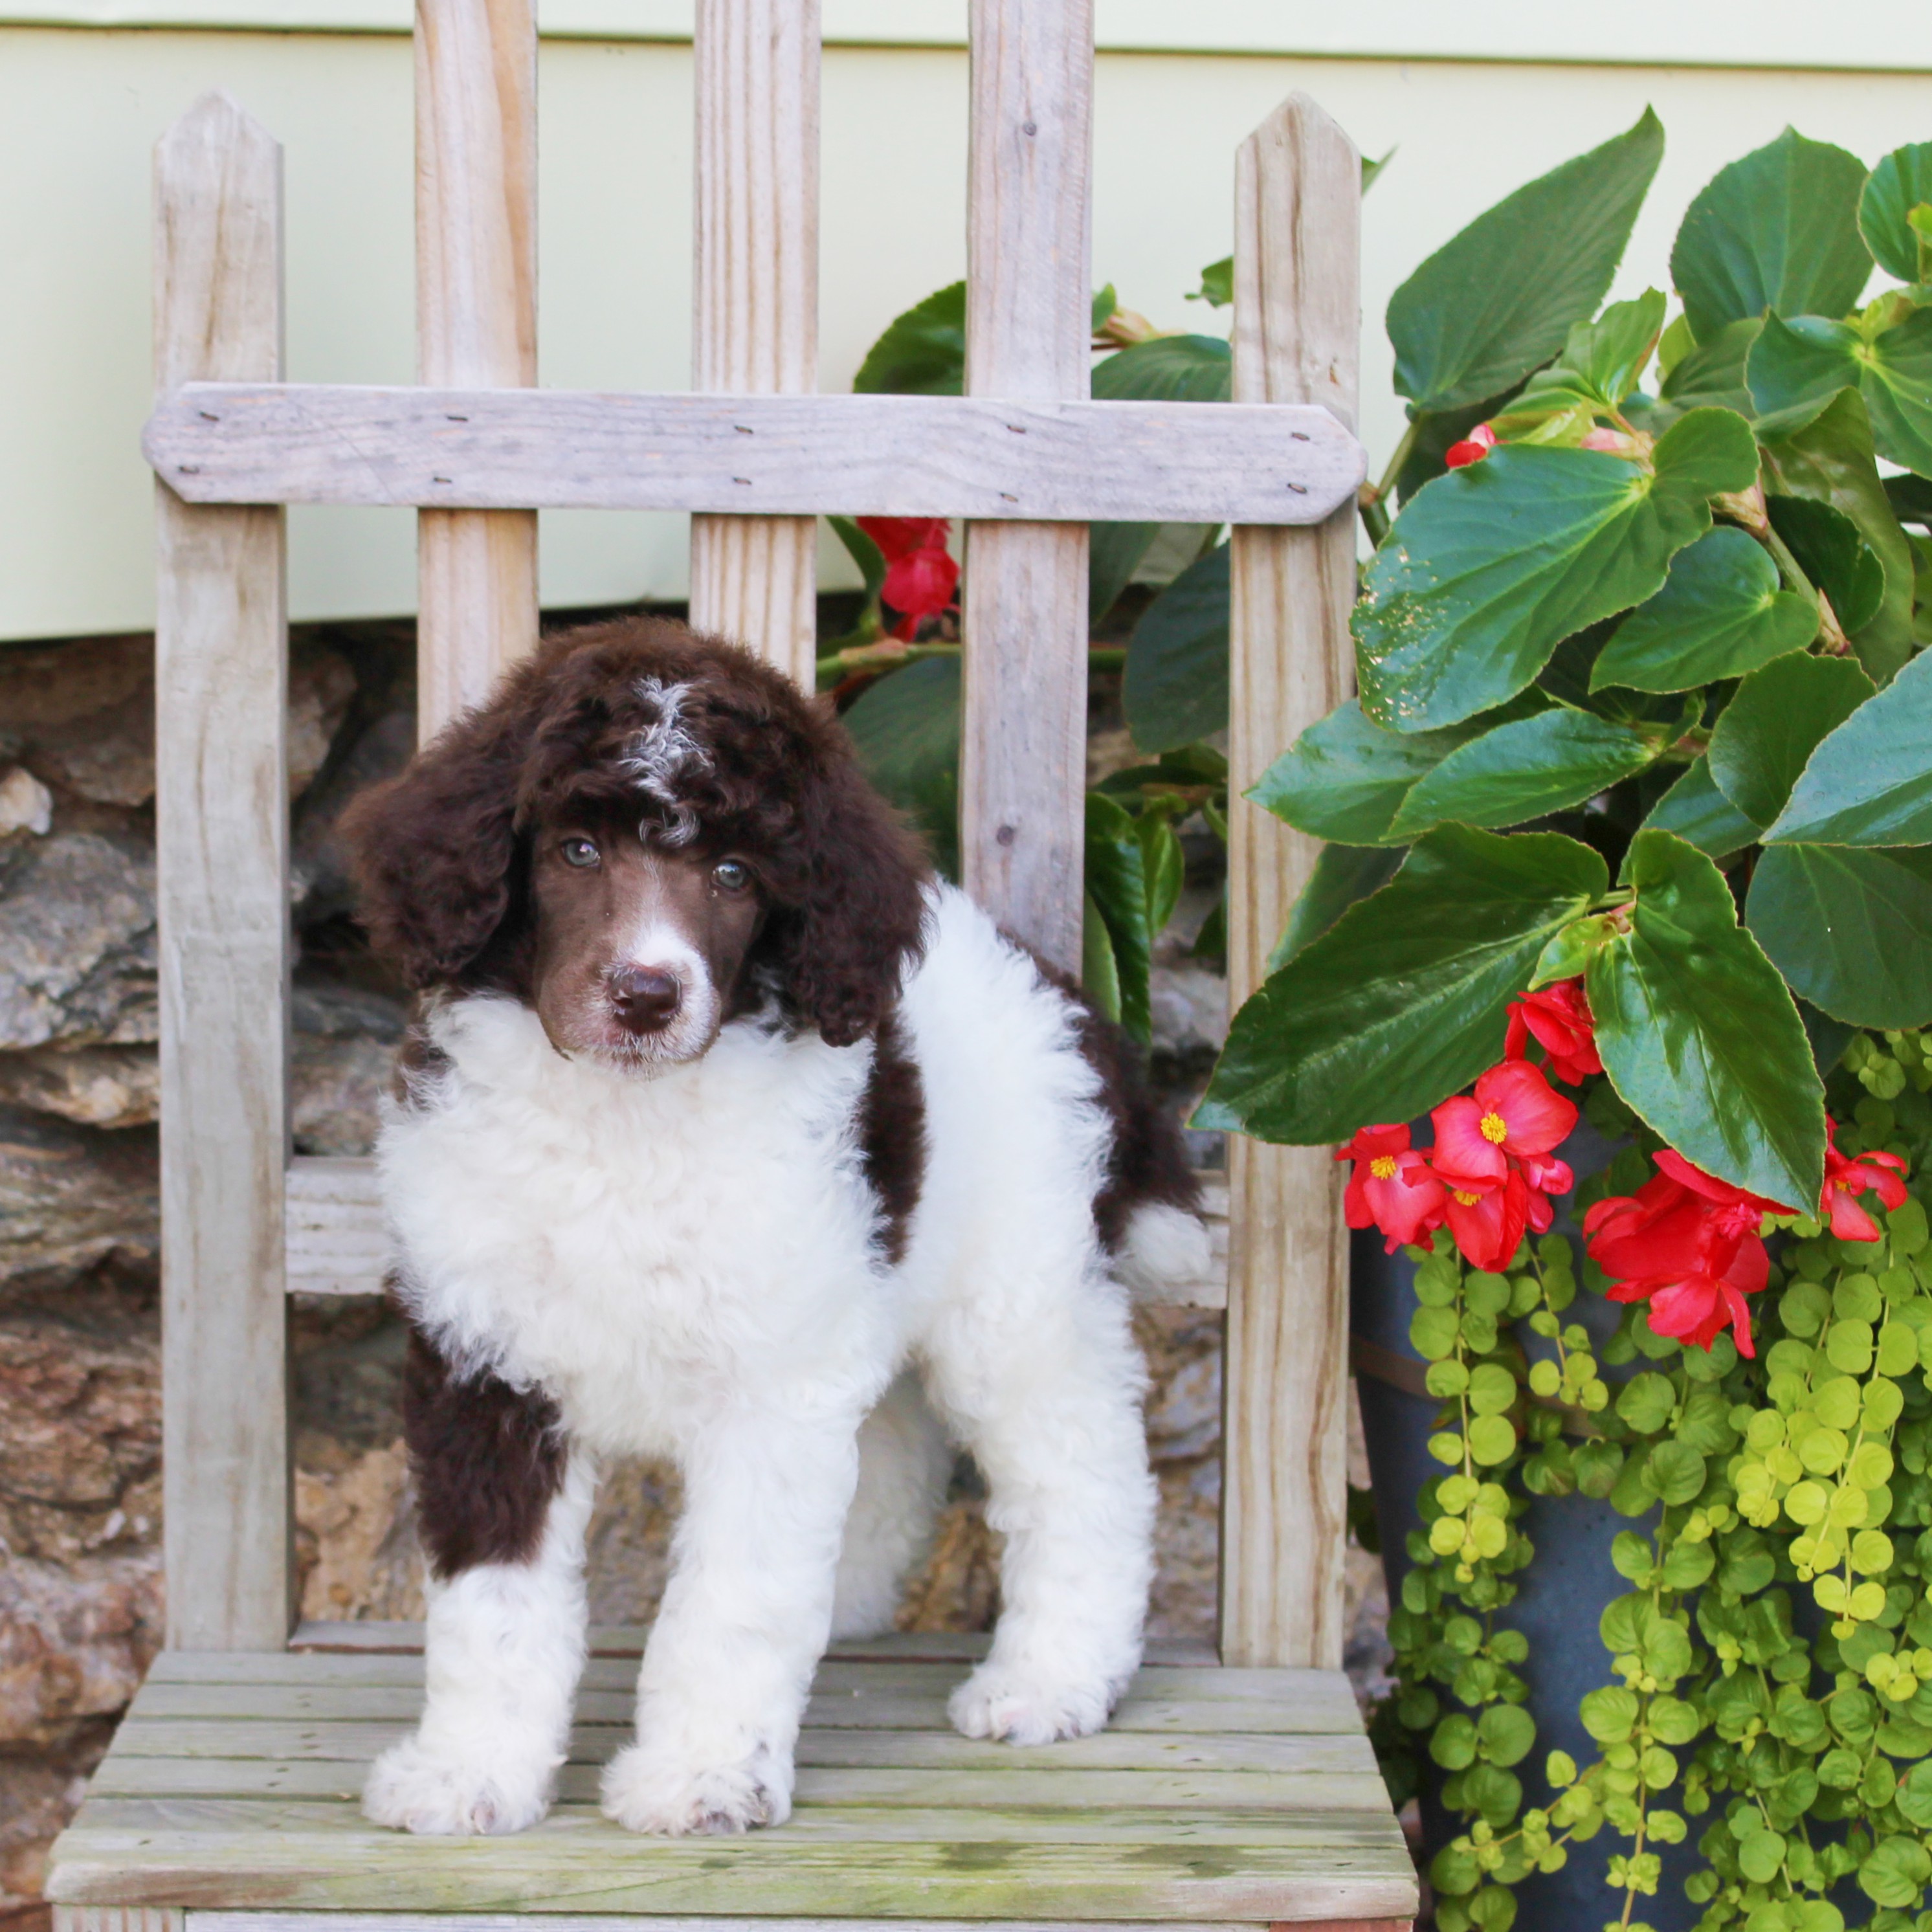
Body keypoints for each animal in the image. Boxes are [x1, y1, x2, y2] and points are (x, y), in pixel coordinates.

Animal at [340, 618, 1197, 1839]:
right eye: (576, 851)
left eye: (735, 875)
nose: (647, 993)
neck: (624, 1121)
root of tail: (1059, 990)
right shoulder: (484, 1365)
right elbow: (490, 1602)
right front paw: (472, 1773)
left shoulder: (767, 1389)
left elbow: (732, 1599)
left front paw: (697, 1775)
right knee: (898, 1452)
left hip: (1018, 1297)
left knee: (1082, 1474)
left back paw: (1051, 1680)